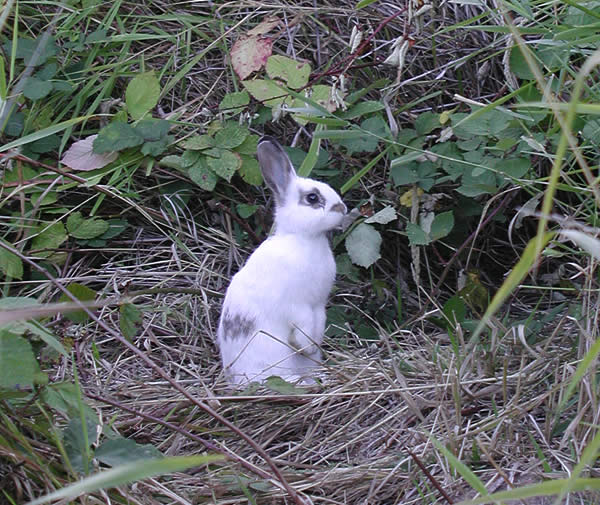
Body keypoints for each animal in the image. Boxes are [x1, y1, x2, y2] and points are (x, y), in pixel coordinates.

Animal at [216, 136, 346, 384]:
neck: (304, 238)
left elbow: (318, 326)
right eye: (312, 197)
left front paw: (312, 348)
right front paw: (304, 346)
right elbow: (303, 327)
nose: (342, 208)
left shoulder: (318, 306)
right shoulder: (297, 306)